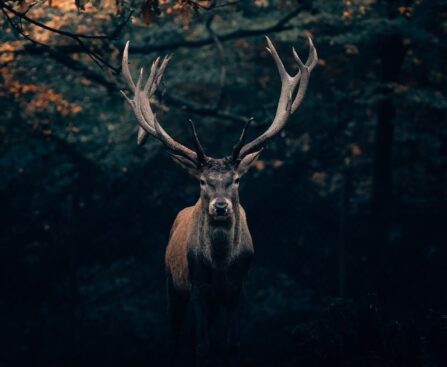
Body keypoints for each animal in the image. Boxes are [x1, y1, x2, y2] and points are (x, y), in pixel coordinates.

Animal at [120, 36, 318, 366]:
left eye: (236, 180)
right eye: (202, 181)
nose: (221, 206)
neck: (222, 265)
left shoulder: (238, 291)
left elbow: (232, 345)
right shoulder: (198, 288)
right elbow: (202, 346)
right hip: (172, 284)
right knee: (175, 337)